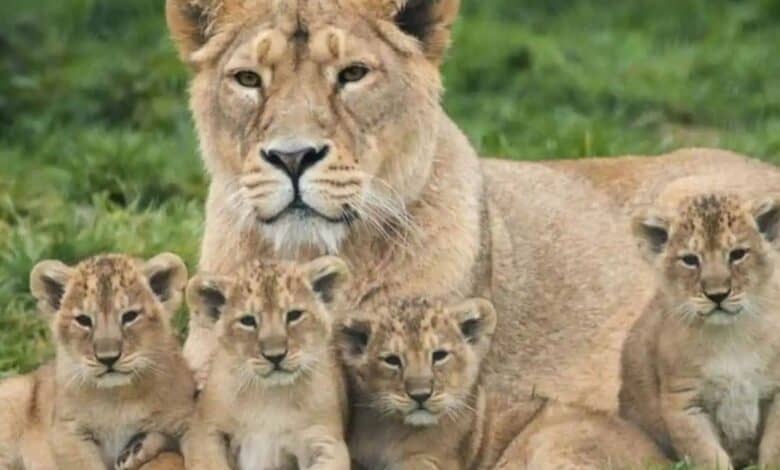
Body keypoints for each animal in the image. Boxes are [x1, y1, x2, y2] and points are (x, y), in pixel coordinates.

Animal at [0, 253, 195, 470]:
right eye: (83, 320)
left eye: (130, 316)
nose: (108, 358)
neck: (118, 399)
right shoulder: (68, 432)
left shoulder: (186, 418)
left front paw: (136, 449)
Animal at [182, 256, 350, 470]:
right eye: (247, 321)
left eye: (294, 315)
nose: (275, 356)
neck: (270, 396)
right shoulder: (203, 430)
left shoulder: (327, 442)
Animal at [339, 298, 668, 470]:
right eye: (392, 360)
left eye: (439, 355)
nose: (420, 394)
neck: (389, 430)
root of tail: (661, 457)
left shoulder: (435, 462)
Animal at [620, 193, 780, 468]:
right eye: (690, 260)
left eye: (737, 254)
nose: (717, 295)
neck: (730, 336)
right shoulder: (684, 401)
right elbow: (707, 455)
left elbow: (774, 450)